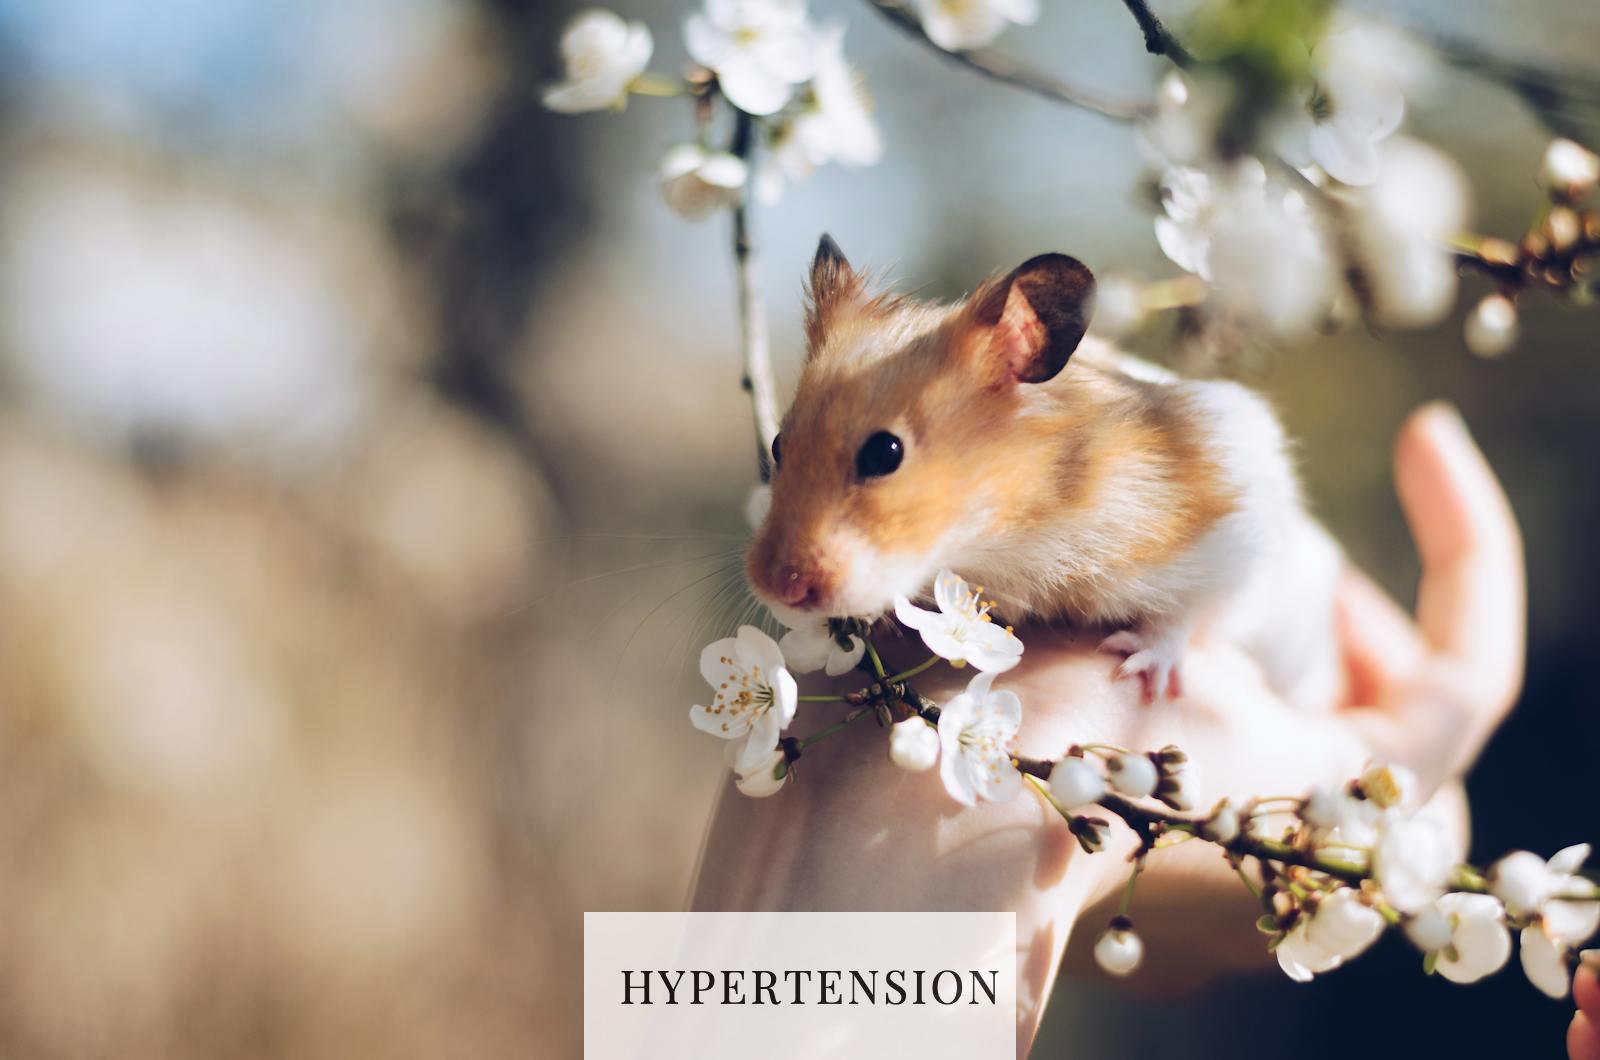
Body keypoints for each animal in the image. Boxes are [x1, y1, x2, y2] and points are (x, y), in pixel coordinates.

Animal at [746, 234, 1342, 706]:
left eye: (884, 453)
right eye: (777, 444)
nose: (776, 588)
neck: (1011, 530)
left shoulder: (1237, 525)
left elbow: (1189, 612)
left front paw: (1137, 668)